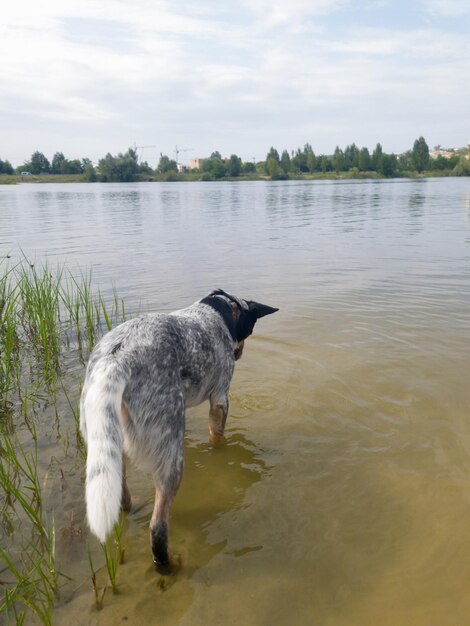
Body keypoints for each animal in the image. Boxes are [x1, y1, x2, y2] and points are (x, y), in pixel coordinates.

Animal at [80, 290, 280, 568]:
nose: (239, 353)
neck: (222, 310)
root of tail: (116, 360)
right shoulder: (220, 398)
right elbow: (217, 436)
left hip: (106, 441)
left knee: (121, 497)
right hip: (170, 459)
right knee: (158, 527)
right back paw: (167, 564)